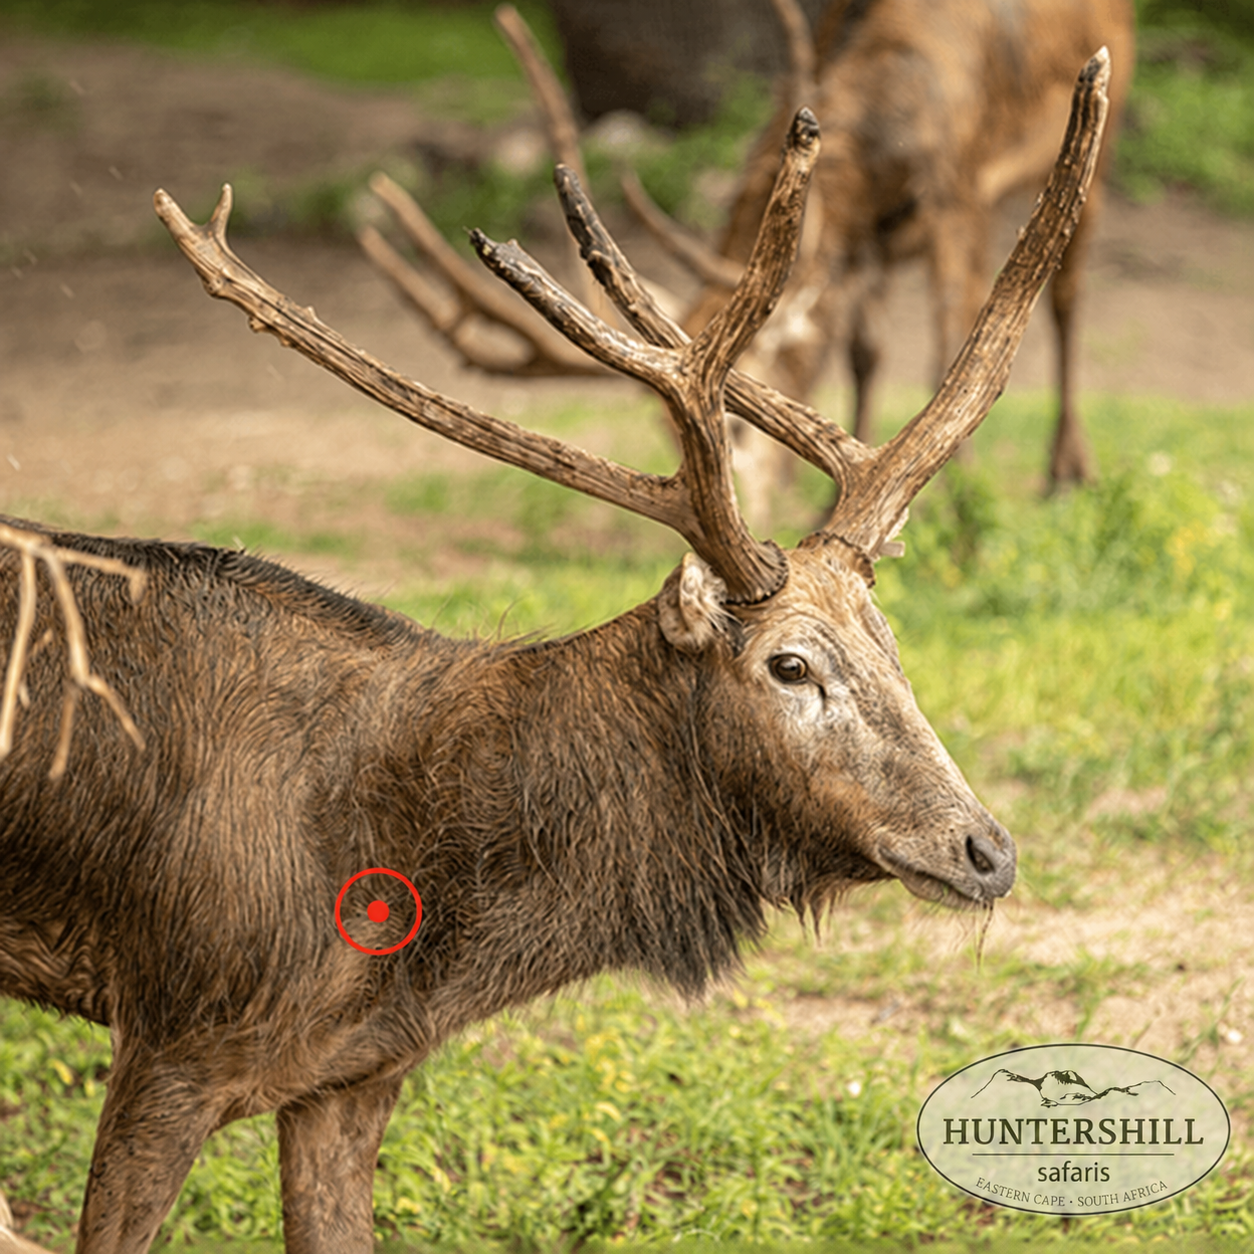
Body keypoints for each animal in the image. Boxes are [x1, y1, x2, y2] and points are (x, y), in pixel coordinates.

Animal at [0, 52, 1109, 1254]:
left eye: (892, 644)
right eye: (790, 665)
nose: (987, 850)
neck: (410, 919)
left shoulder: (349, 1078)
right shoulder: (169, 1040)